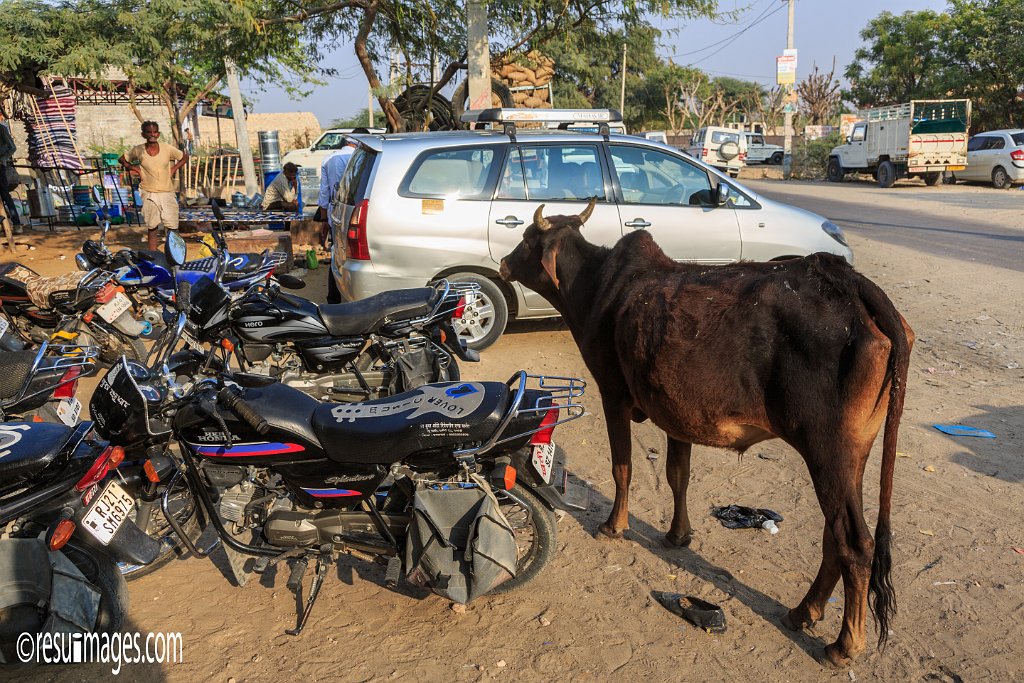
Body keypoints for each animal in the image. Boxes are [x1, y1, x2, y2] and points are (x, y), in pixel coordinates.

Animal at [495, 198, 913, 667]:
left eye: (527, 239)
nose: (504, 263)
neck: (596, 286)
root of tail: (853, 285)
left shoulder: (613, 394)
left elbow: (623, 468)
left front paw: (614, 525)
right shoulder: (674, 410)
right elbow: (678, 476)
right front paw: (678, 535)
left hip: (827, 449)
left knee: (854, 544)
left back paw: (844, 644)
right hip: (853, 452)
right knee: (833, 536)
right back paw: (803, 611)